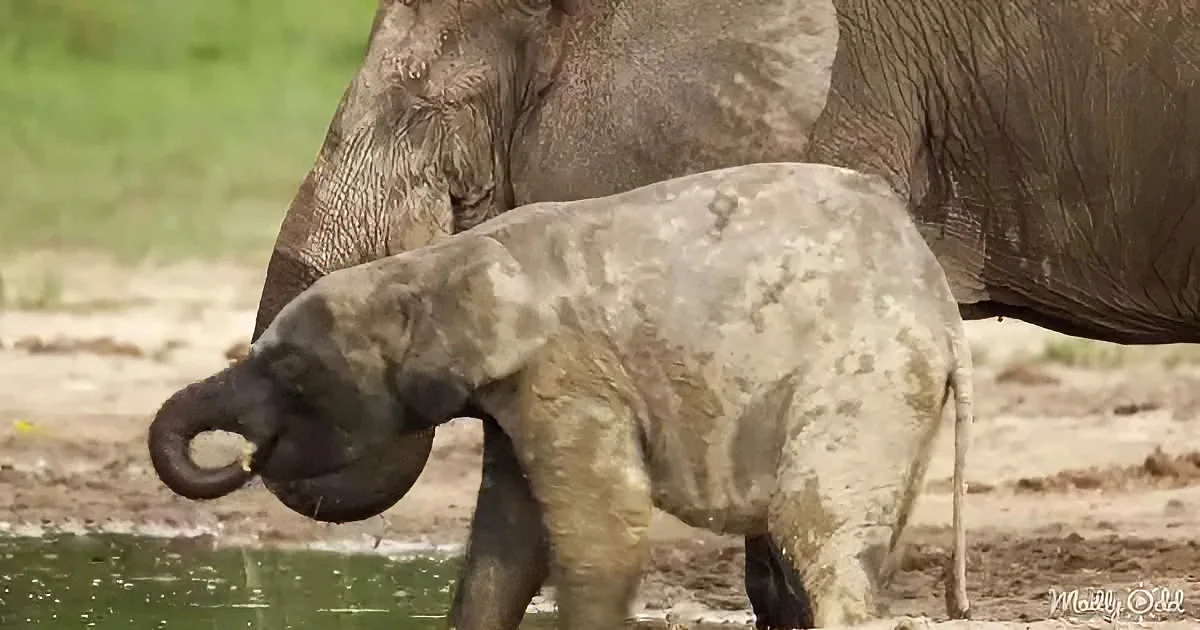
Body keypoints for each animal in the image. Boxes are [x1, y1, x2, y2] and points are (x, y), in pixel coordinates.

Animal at [148, 162, 973, 628]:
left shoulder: (568, 373)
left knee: (817, 527)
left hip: (863, 378)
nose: (242, 457)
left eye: (291, 370)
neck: (435, 264)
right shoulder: (522, 394)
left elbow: (602, 532)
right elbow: (507, 545)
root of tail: (941, 309)